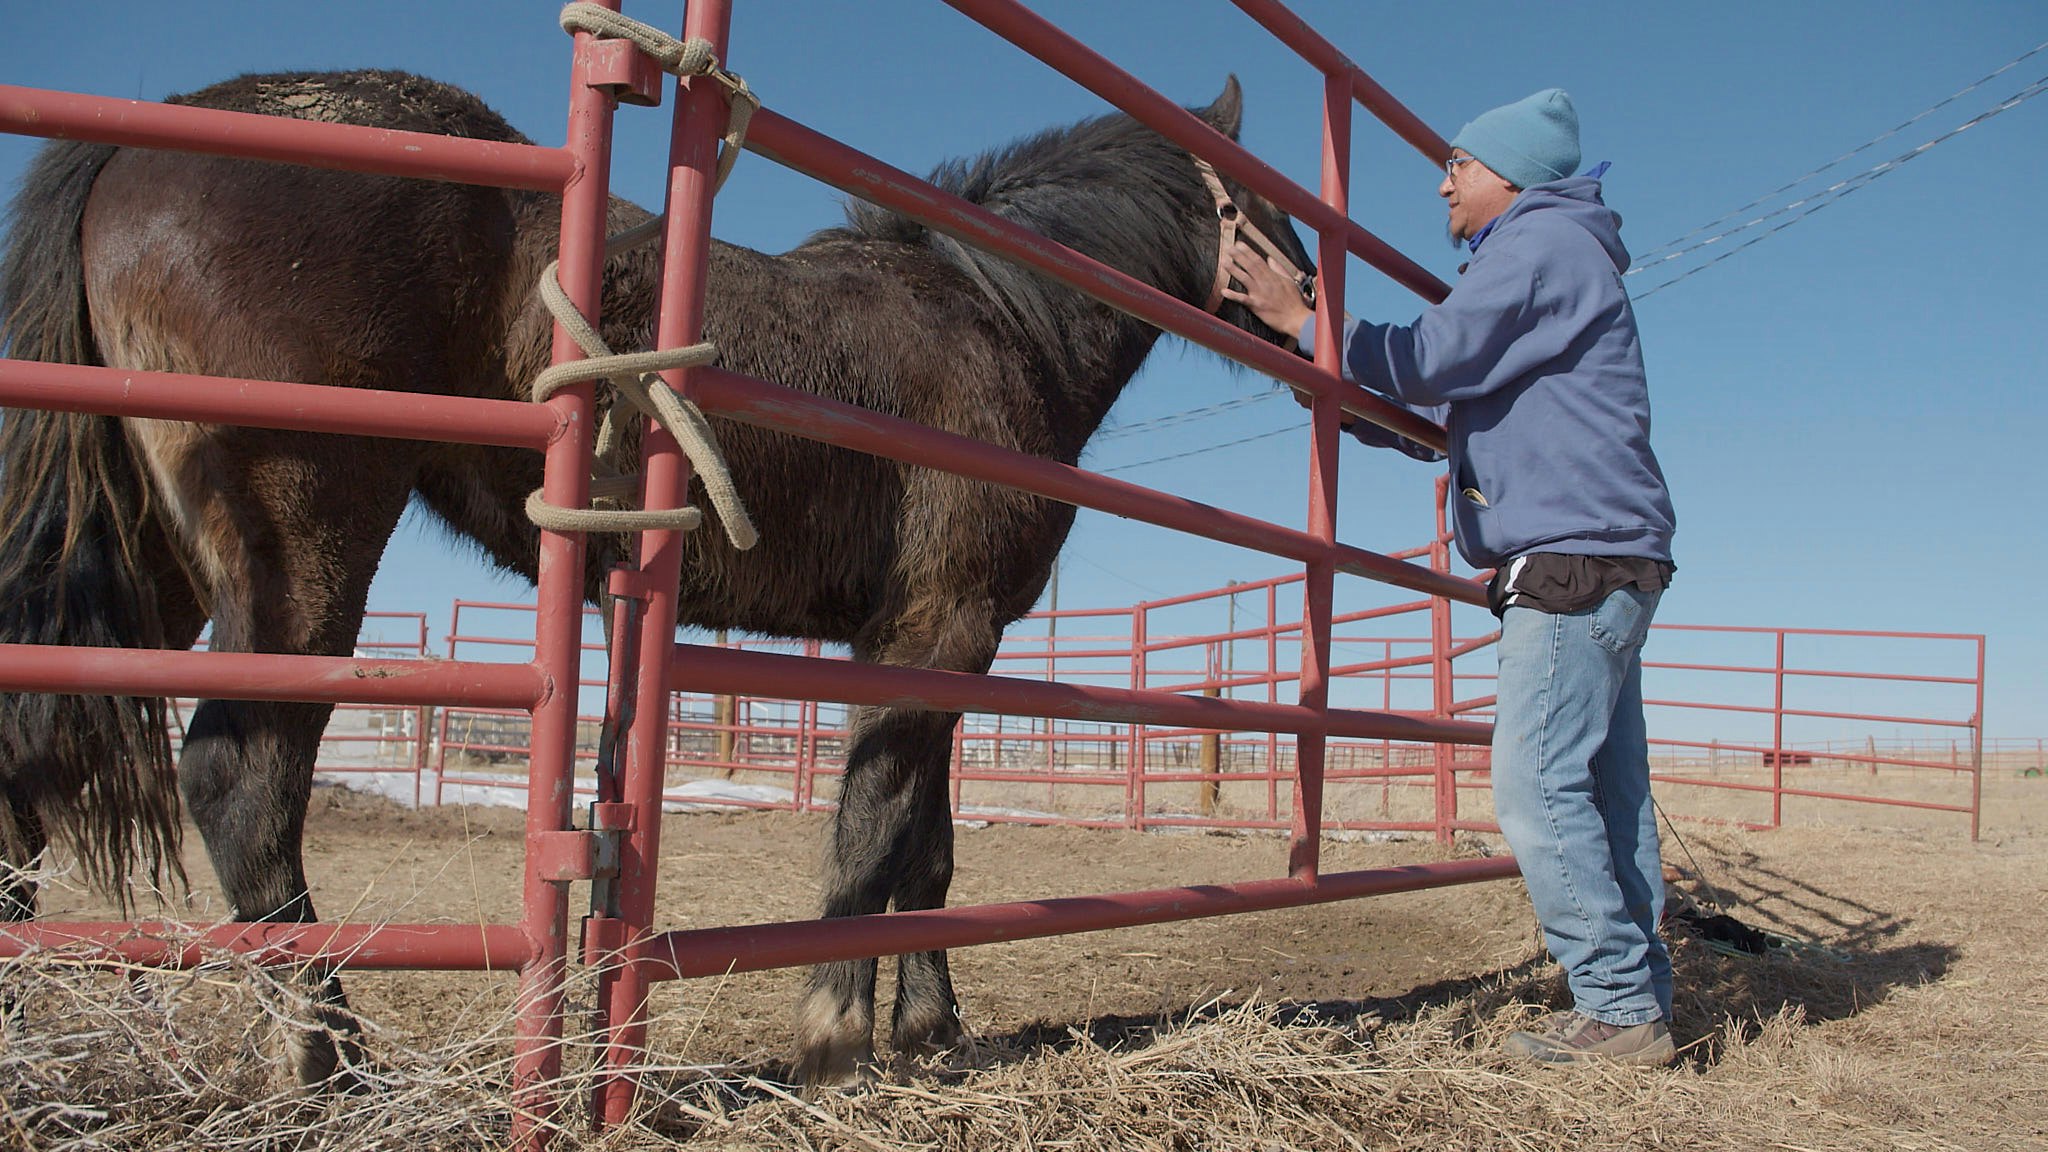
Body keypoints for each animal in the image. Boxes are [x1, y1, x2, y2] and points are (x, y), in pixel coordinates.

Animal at [0, 69, 1310, 1082]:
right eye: (1271, 218)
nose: (1319, 325)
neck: (990, 321)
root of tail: (155, 135)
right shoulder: (936, 631)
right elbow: (877, 827)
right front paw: (833, 1036)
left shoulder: (932, 645)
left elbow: (928, 850)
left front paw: (929, 1030)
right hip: (298, 544)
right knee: (240, 784)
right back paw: (328, 1058)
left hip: (147, 564)